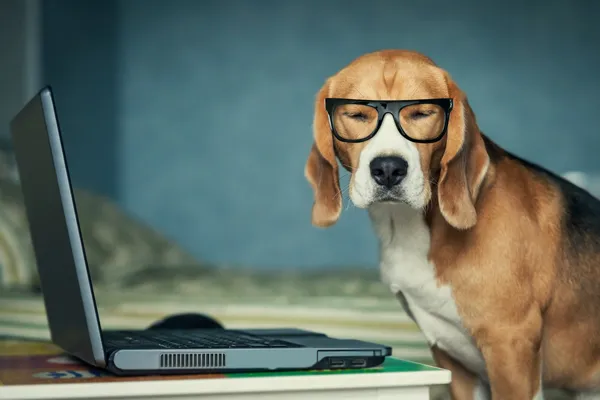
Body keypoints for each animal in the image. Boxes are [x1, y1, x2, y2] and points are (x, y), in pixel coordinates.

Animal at [308, 48, 600, 398]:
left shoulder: (511, 346)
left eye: (422, 113)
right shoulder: (454, 363)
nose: (389, 169)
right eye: (356, 114)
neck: (412, 228)